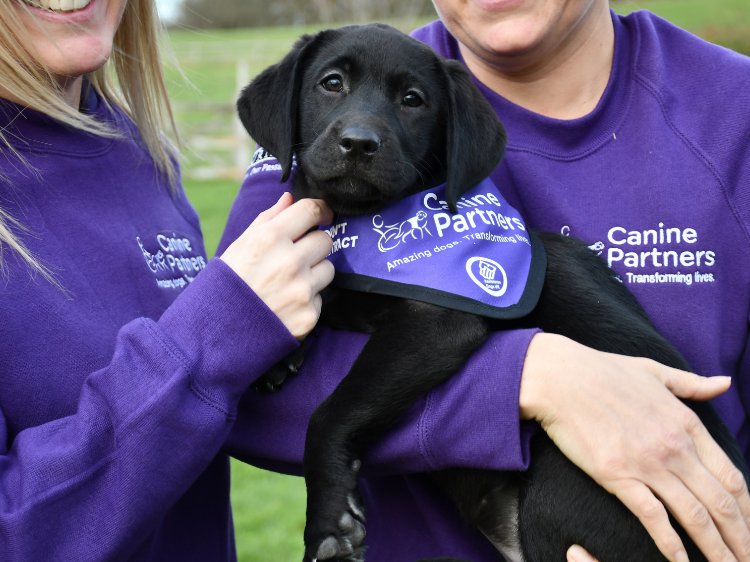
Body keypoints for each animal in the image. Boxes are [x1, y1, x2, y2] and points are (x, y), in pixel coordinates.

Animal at [238, 24, 748, 560]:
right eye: (331, 82)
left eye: (413, 99)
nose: (359, 144)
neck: (364, 223)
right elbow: (323, 290)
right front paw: (277, 347)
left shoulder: (438, 324)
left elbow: (330, 411)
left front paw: (328, 521)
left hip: (565, 483)